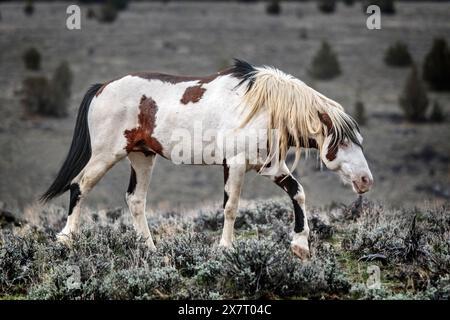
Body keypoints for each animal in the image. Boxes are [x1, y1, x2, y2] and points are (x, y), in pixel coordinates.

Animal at [41, 59, 372, 260]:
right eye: (342, 141)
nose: (365, 180)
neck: (264, 108)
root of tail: (102, 88)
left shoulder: (271, 168)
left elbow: (298, 193)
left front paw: (301, 246)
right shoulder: (235, 164)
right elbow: (231, 207)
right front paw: (225, 248)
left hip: (142, 156)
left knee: (135, 200)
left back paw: (150, 249)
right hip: (107, 153)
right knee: (80, 185)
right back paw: (66, 240)